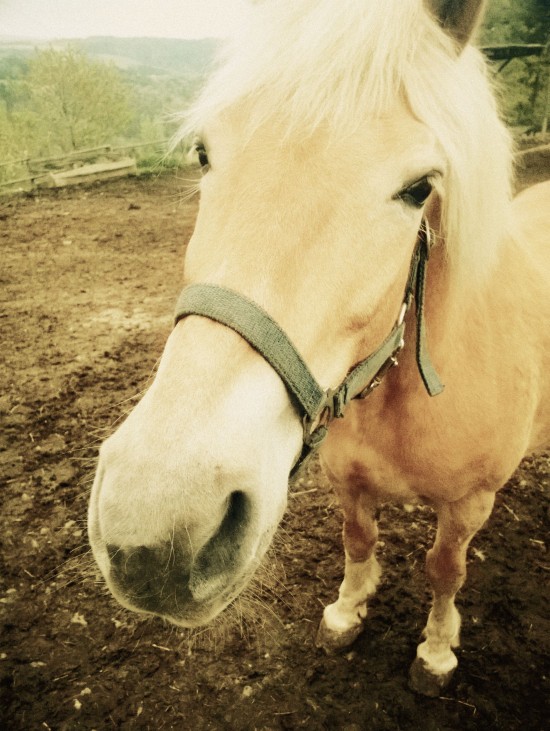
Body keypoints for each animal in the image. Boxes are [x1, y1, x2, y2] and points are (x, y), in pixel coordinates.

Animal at [87, 0, 550, 696]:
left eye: (420, 187)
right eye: (204, 153)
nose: (155, 533)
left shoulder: (470, 504)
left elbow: (445, 568)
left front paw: (436, 651)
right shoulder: (345, 479)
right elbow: (357, 538)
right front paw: (346, 611)